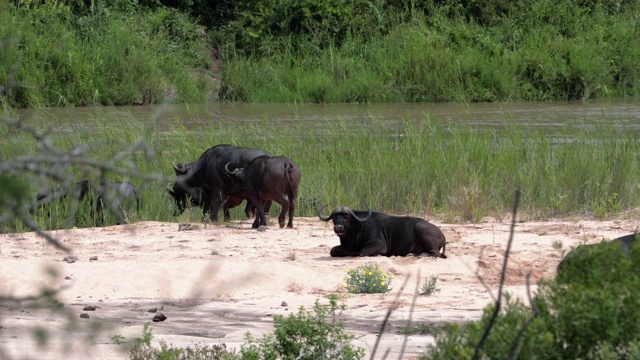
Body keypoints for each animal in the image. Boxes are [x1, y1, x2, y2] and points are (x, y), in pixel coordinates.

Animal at [318, 204, 448, 258]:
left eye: (347, 217)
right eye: (335, 217)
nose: (338, 227)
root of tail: (442, 235)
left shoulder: (379, 245)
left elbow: (361, 252)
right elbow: (333, 250)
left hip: (423, 230)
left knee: (435, 253)